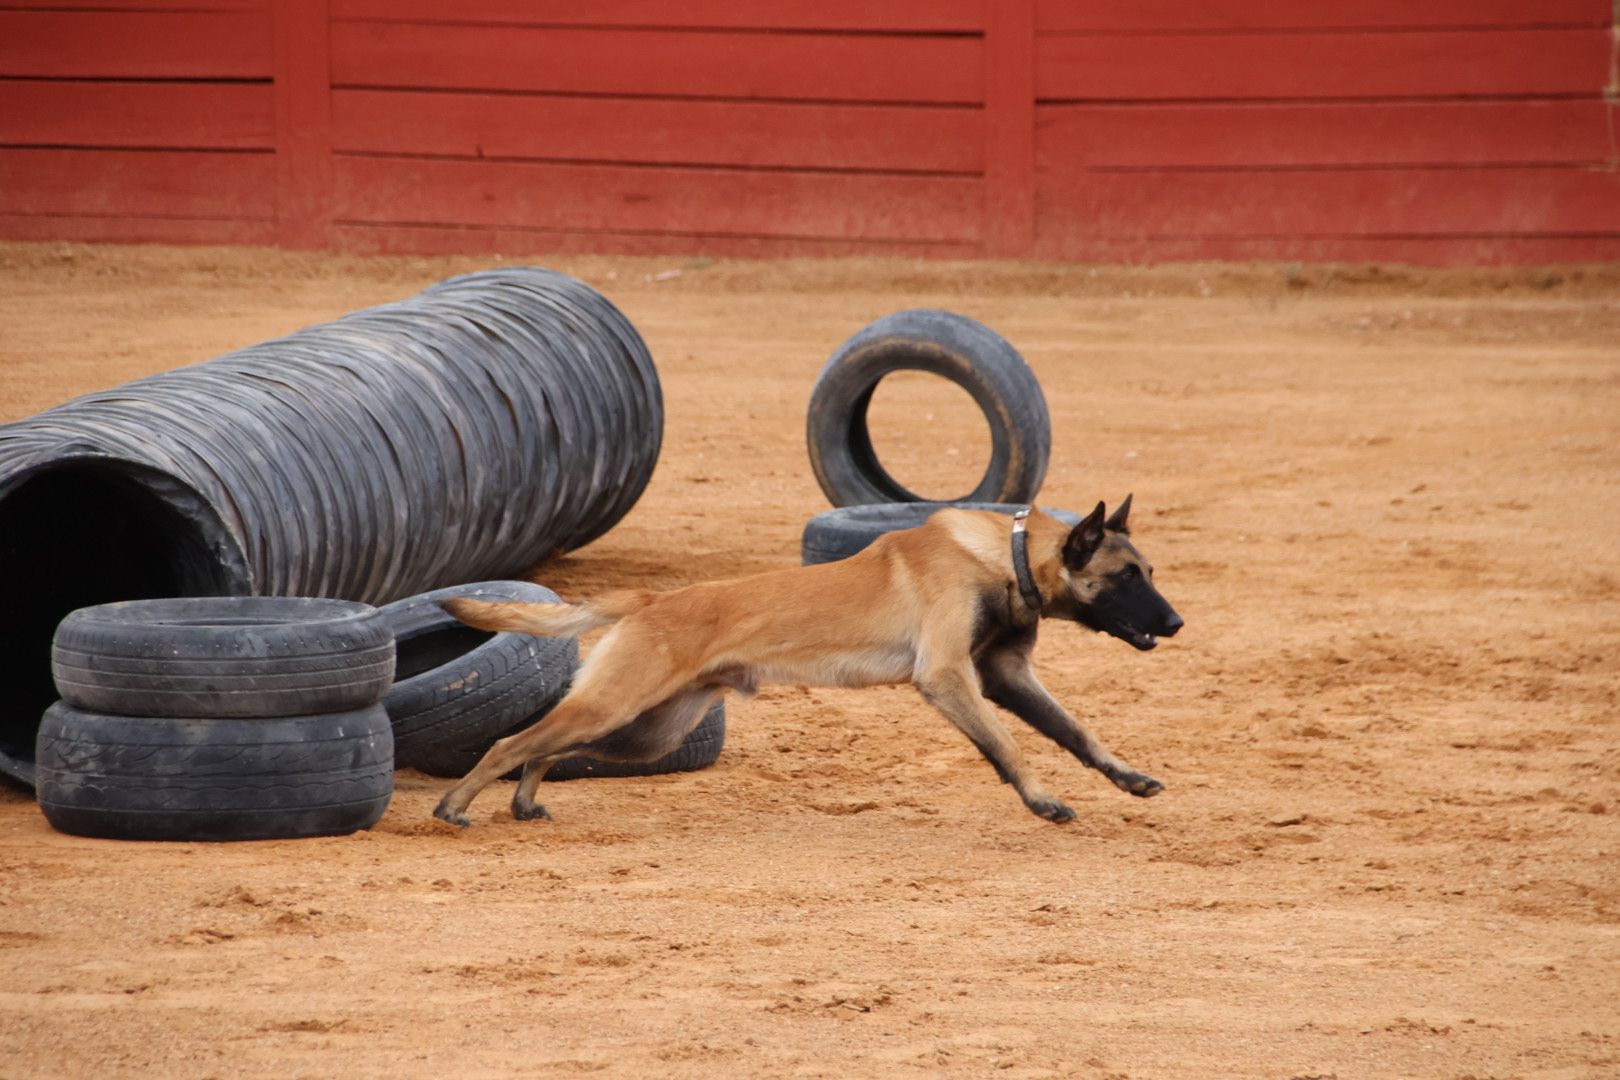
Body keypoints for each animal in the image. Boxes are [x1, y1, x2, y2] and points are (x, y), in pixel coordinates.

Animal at [437, 498, 1185, 829]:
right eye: (1125, 577)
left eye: (1149, 571)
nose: (1176, 623)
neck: (1005, 558)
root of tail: (654, 598)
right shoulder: (948, 678)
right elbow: (1007, 746)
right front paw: (1041, 799)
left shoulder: (1006, 677)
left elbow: (1078, 733)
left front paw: (1127, 778)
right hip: (618, 707)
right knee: (511, 741)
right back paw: (454, 806)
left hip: (643, 732)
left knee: (541, 748)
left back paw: (524, 802)